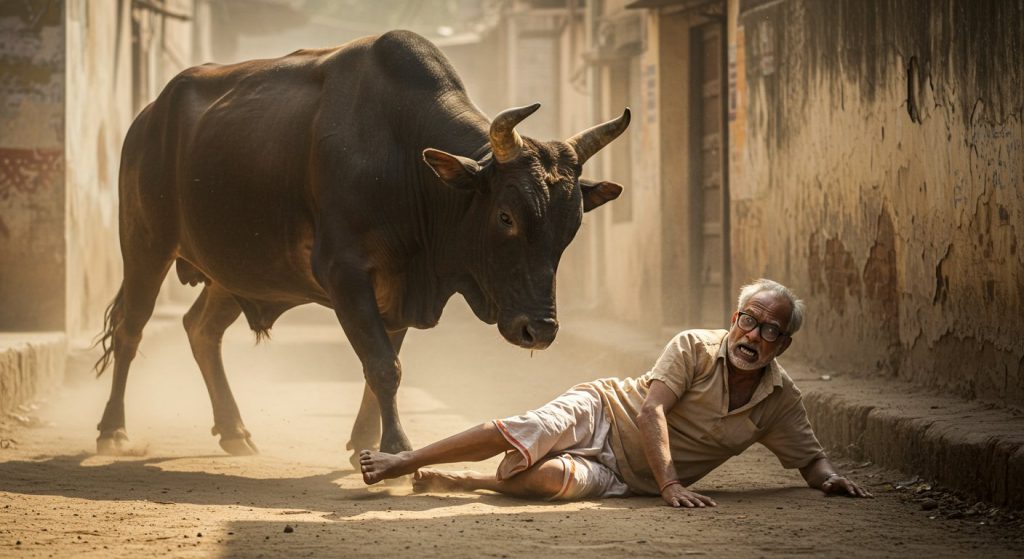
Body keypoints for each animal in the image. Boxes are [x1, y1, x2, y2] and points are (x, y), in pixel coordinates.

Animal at [94, 30, 629, 461]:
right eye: (506, 217)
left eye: (572, 226)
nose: (539, 330)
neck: (407, 162)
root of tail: (149, 116)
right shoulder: (344, 273)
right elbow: (383, 365)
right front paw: (394, 446)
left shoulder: (398, 288)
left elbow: (384, 363)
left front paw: (365, 443)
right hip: (144, 245)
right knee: (131, 328)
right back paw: (113, 431)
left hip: (235, 272)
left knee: (201, 330)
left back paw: (233, 431)